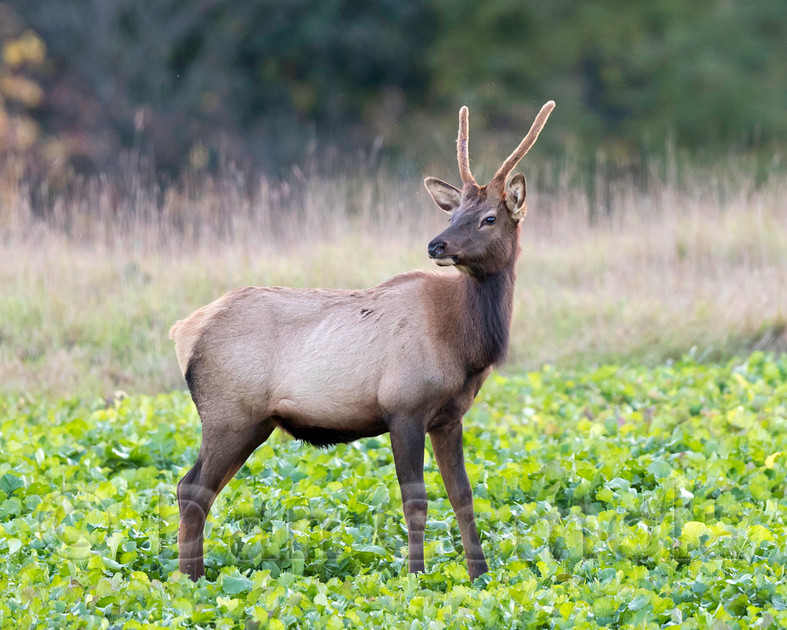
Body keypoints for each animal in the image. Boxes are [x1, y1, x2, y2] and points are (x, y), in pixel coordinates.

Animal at [170, 102, 556, 584]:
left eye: (489, 218)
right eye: (452, 216)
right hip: (229, 414)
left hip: (250, 423)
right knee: (192, 487)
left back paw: (197, 577)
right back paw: (191, 583)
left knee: (197, 488)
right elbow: (416, 500)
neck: (465, 344)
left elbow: (463, 496)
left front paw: (480, 577)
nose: (436, 245)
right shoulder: (404, 406)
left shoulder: (449, 416)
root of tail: (183, 332)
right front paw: (416, 577)